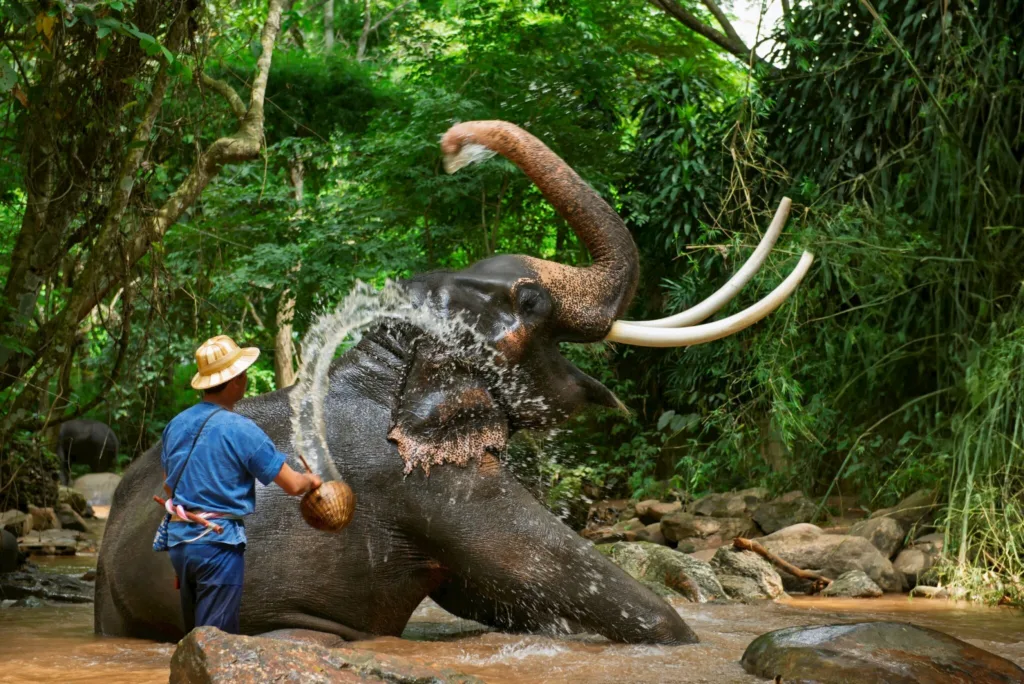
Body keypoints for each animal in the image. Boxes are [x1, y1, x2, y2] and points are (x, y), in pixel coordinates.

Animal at [95, 121, 811, 645]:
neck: (391, 360)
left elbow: (496, 595)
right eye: (531, 301)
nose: (453, 146)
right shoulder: (436, 488)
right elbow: (558, 574)